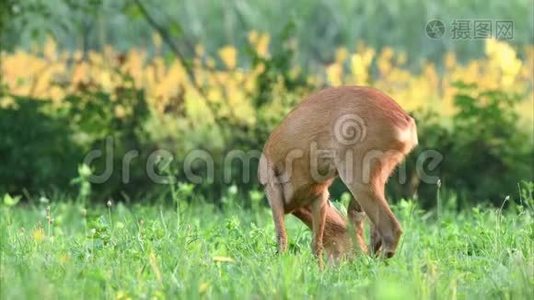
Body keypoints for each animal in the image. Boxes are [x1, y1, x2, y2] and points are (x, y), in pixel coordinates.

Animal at [260, 85, 418, 266]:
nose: (357, 256)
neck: (297, 203)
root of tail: (407, 122)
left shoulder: (271, 185)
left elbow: (282, 240)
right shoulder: (320, 195)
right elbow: (315, 244)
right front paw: (319, 270)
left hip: (358, 171)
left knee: (391, 229)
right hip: (380, 173)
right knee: (371, 227)